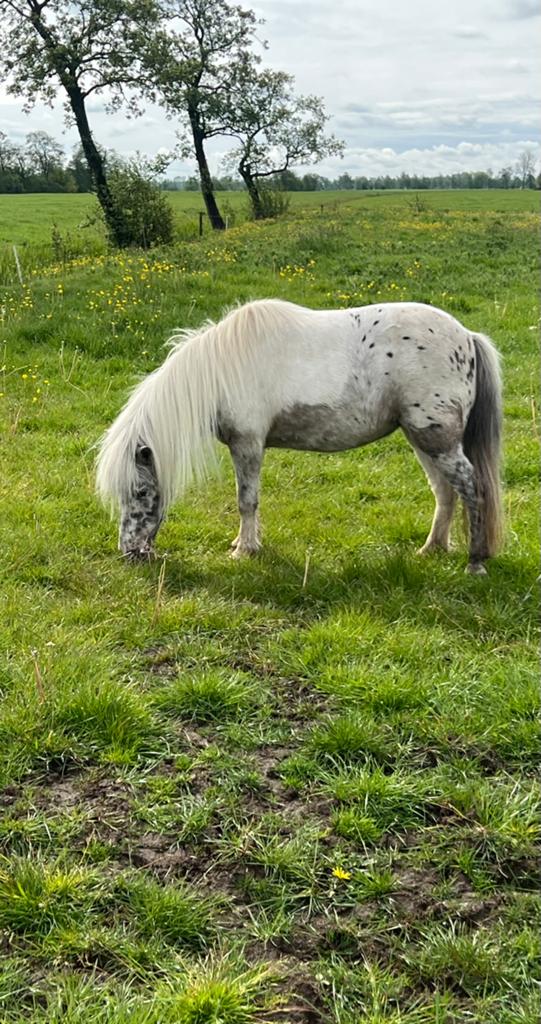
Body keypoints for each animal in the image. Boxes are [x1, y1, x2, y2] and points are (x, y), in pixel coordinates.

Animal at [96, 298, 503, 575]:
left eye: (141, 492)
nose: (131, 552)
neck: (223, 370)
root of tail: (467, 337)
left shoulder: (248, 444)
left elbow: (246, 501)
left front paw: (244, 550)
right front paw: (245, 543)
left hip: (437, 440)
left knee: (472, 488)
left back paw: (475, 562)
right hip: (424, 441)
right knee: (445, 492)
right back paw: (432, 549)